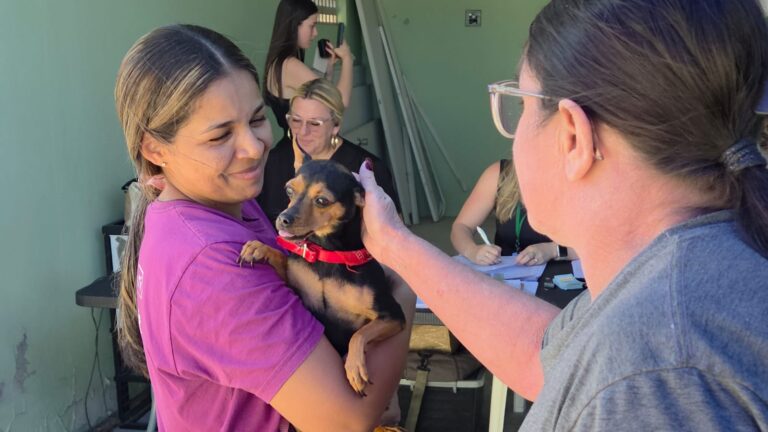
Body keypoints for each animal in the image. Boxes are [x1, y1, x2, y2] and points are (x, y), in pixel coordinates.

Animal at [239, 158, 406, 425]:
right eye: (289, 190)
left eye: (321, 201)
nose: (283, 219)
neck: (327, 255)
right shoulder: (297, 289)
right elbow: (282, 259)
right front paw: (258, 248)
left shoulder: (392, 316)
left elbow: (359, 334)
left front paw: (354, 366)